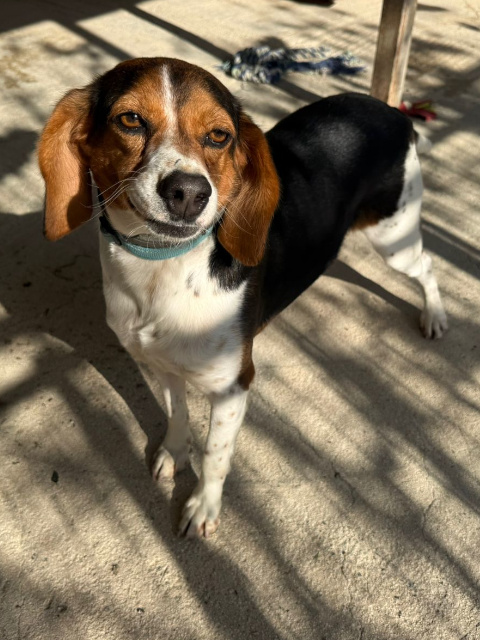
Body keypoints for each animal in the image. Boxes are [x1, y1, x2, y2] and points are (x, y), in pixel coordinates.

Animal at [38, 57, 447, 538]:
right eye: (131, 120)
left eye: (219, 135)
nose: (189, 193)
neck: (161, 270)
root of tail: (392, 113)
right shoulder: (164, 365)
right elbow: (177, 415)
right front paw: (175, 453)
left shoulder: (233, 387)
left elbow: (215, 455)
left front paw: (203, 505)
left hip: (393, 239)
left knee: (427, 267)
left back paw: (435, 316)